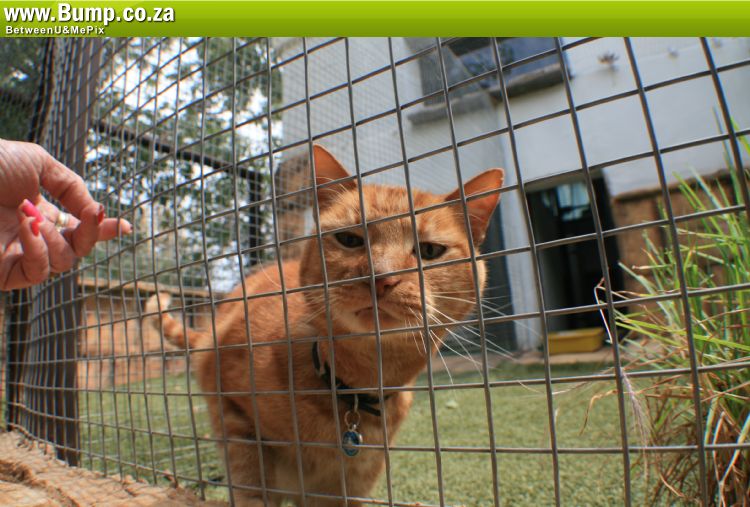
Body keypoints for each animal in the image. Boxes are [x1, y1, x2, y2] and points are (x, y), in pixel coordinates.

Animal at [145, 145, 503, 506]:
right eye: (349, 239)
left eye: (430, 250)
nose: (382, 278)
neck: (355, 387)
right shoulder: (236, 420)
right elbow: (252, 486)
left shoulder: (352, 485)